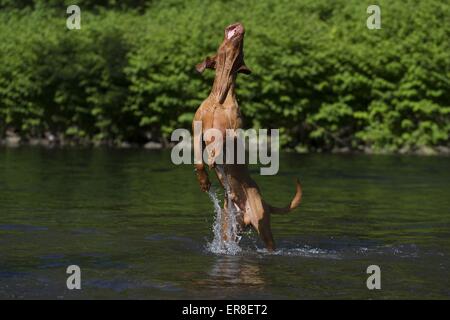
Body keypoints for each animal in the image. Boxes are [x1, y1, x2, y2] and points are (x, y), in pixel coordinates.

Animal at [192, 23, 300, 251]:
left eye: (242, 52)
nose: (239, 25)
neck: (220, 97)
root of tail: (264, 201)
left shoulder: (234, 131)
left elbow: (221, 139)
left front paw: (213, 157)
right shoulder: (196, 128)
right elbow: (198, 159)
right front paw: (204, 181)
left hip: (264, 228)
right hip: (229, 226)